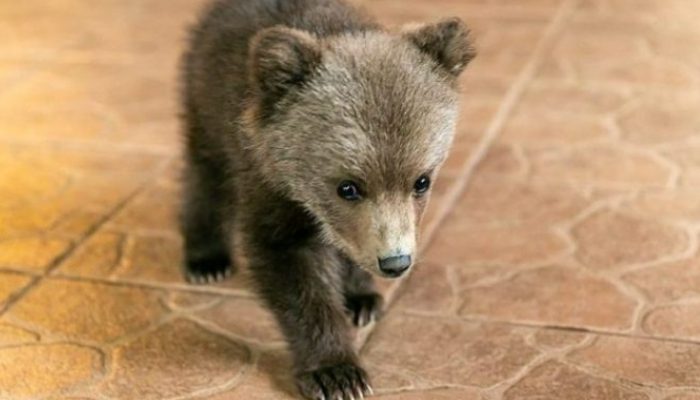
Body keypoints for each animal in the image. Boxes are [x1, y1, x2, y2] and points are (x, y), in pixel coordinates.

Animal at [179, 0, 475, 398]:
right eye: (347, 186)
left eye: (421, 181)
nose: (395, 262)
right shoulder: (269, 182)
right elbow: (293, 274)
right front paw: (337, 373)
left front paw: (362, 298)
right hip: (204, 100)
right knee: (206, 173)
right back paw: (206, 259)